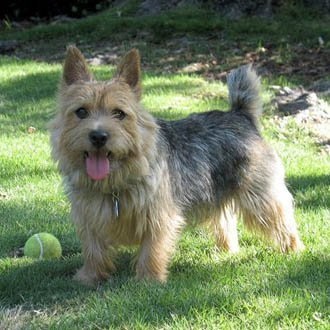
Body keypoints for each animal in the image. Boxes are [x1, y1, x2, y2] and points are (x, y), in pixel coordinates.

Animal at [49, 45, 304, 286]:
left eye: (119, 114)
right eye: (81, 112)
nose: (98, 136)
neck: (113, 185)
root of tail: (240, 115)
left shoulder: (158, 216)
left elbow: (151, 249)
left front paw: (148, 281)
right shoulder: (88, 216)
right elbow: (93, 249)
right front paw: (90, 277)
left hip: (261, 196)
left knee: (281, 220)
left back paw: (294, 250)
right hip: (216, 194)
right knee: (225, 221)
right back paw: (227, 250)